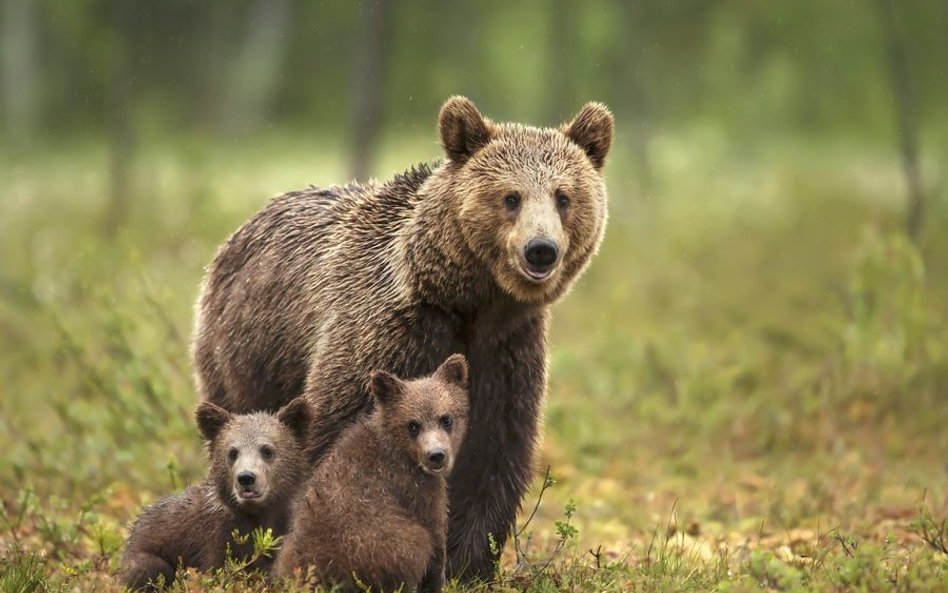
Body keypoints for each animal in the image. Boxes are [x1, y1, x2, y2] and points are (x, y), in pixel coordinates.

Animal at [191, 96, 616, 580]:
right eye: (511, 197)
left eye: (564, 197)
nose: (541, 249)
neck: (468, 302)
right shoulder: (388, 333)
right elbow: (335, 434)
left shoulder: (506, 351)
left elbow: (493, 452)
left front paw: (468, 564)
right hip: (245, 352)